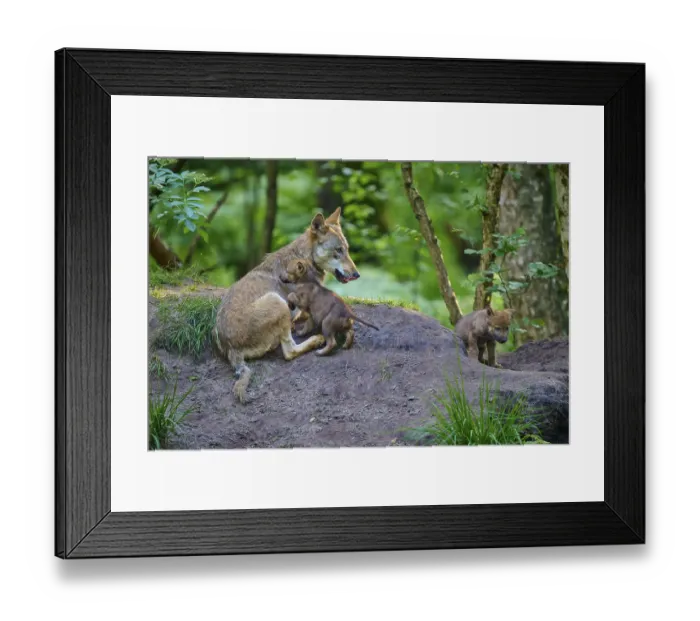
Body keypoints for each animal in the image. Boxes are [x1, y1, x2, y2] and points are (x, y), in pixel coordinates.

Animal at [213, 208, 360, 402]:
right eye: (338, 250)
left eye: (347, 250)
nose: (357, 274)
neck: (304, 259)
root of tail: (230, 348)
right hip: (277, 301)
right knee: (290, 352)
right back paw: (315, 340)